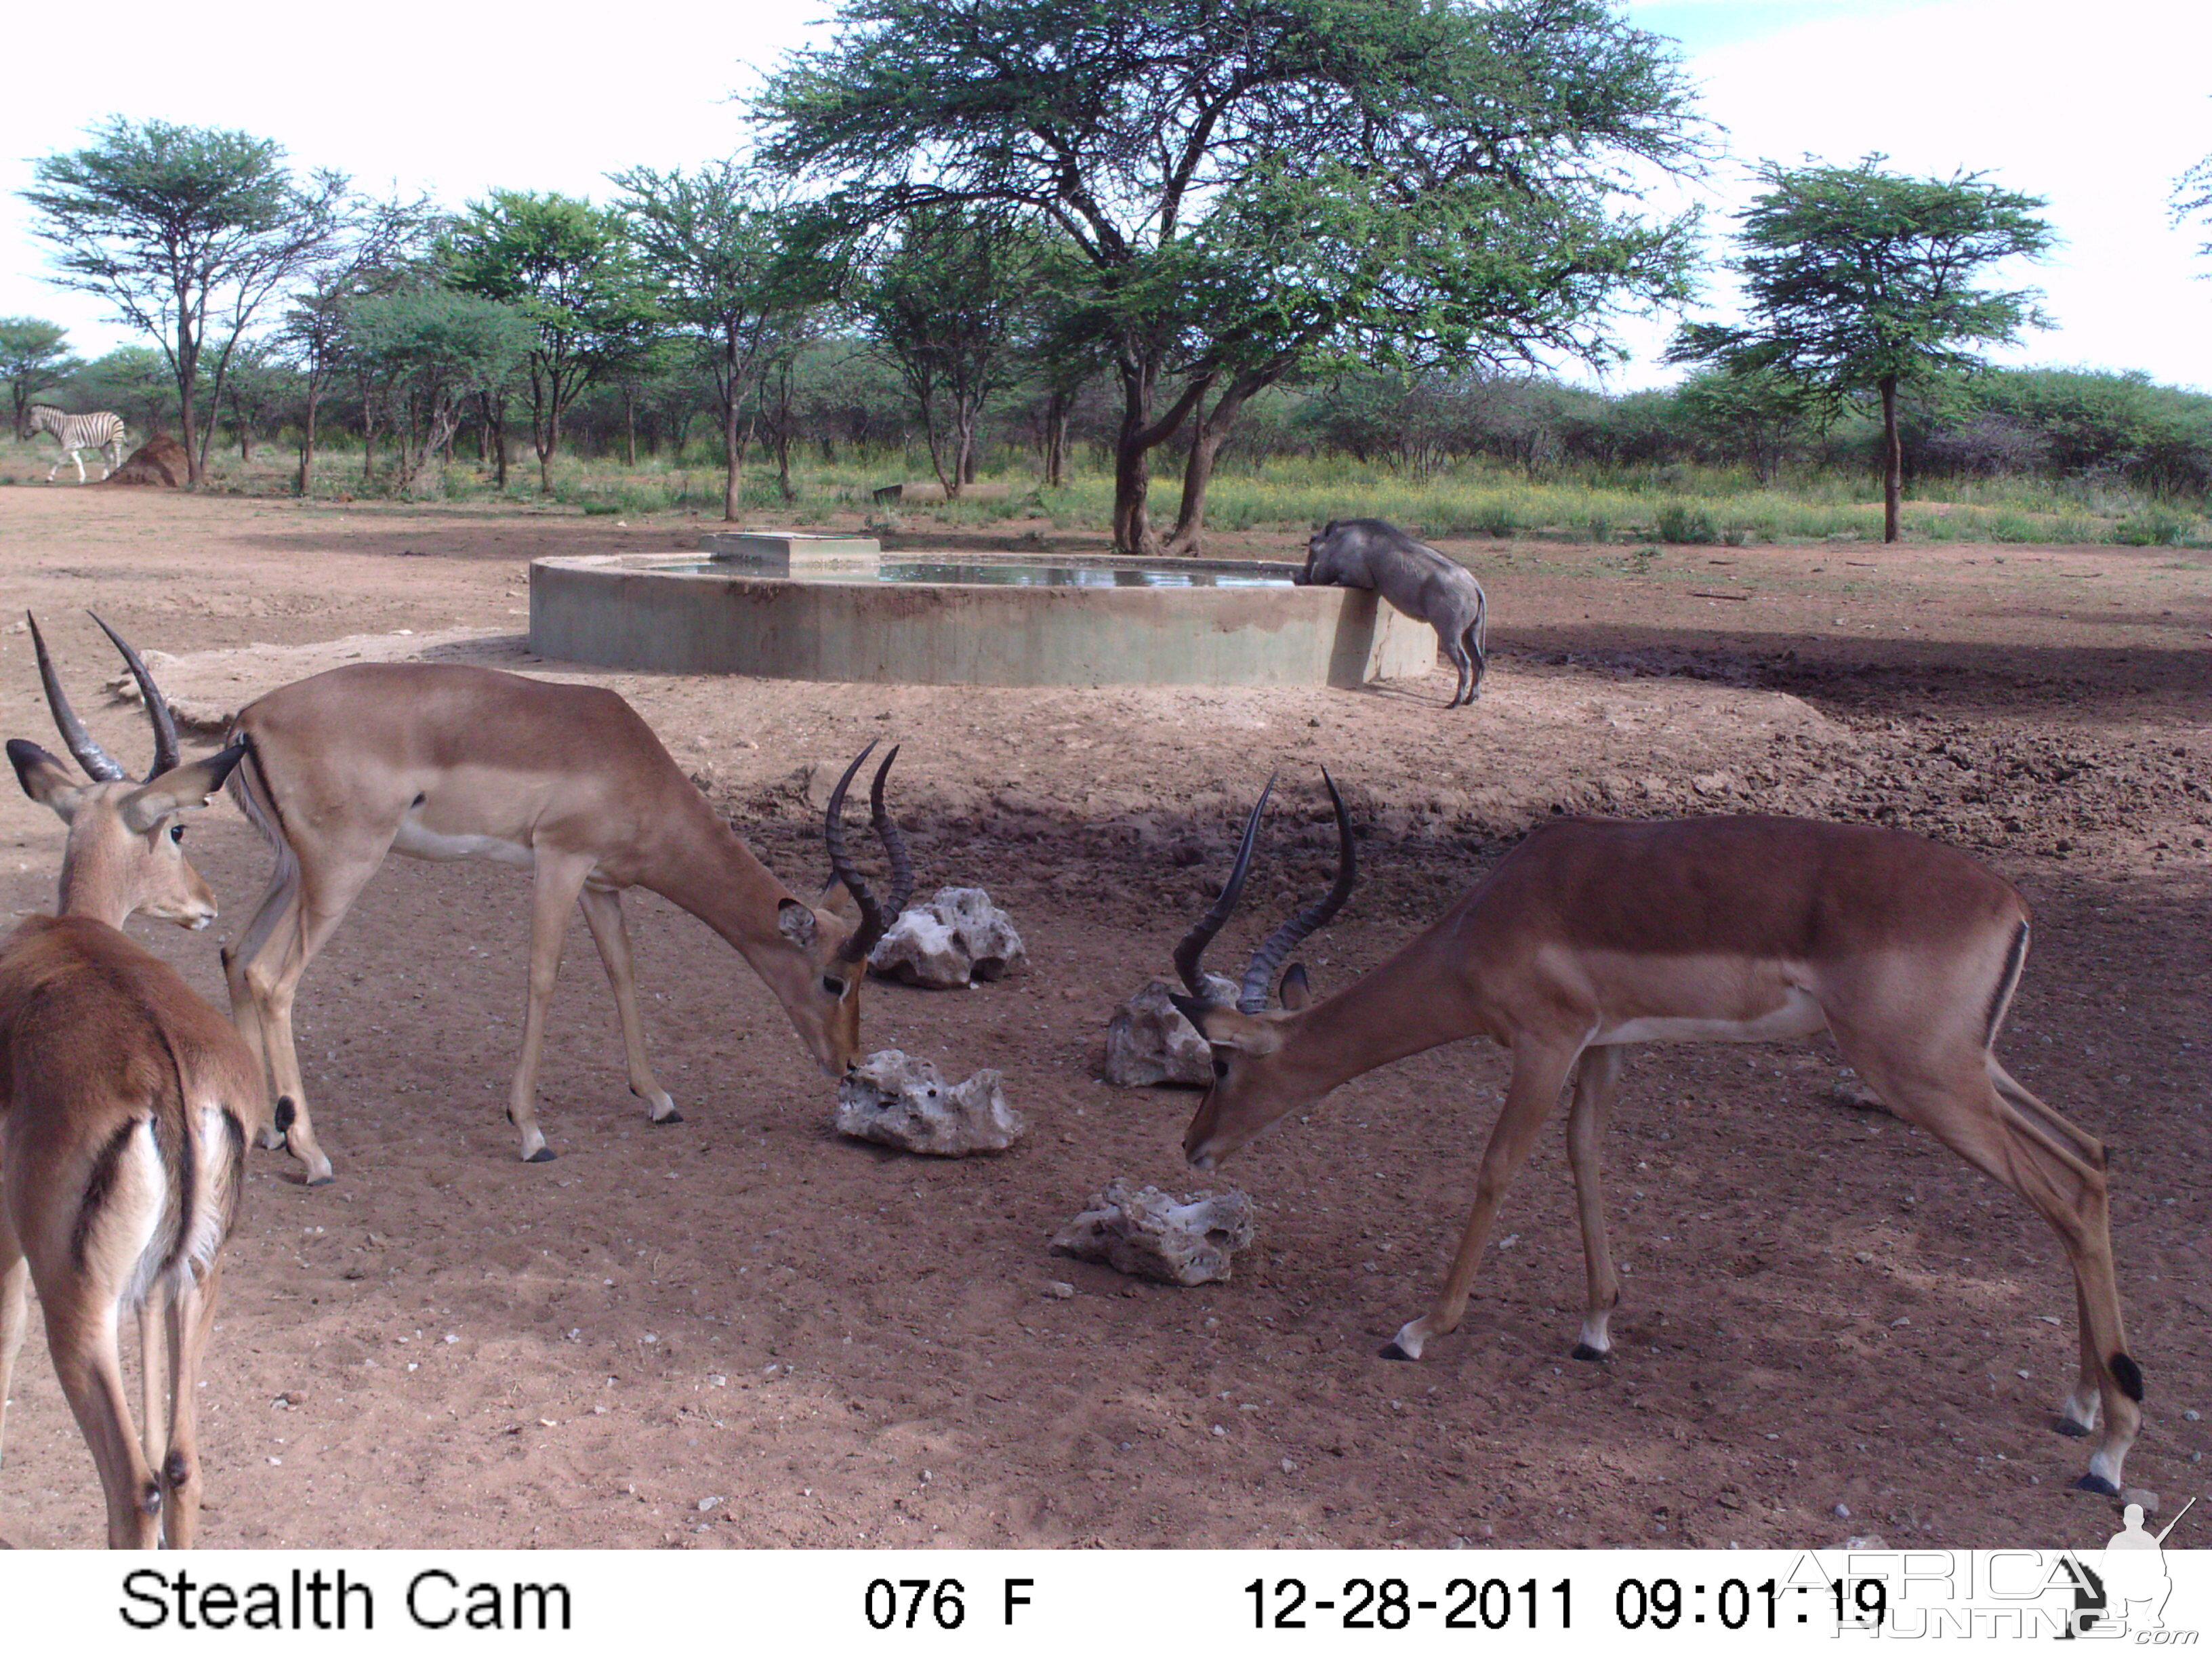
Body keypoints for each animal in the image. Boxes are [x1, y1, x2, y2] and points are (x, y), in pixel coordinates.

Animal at [26, 407, 129, 484]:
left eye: (30, 425)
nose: (24, 436)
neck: (62, 427)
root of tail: (115, 416)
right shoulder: (72, 447)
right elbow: (79, 461)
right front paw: (82, 478)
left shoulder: (68, 446)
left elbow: (58, 460)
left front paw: (49, 478)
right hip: (104, 444)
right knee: (109, 458)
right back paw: (104, 477)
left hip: (116, 439)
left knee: (117, 457)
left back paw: (116, 472)